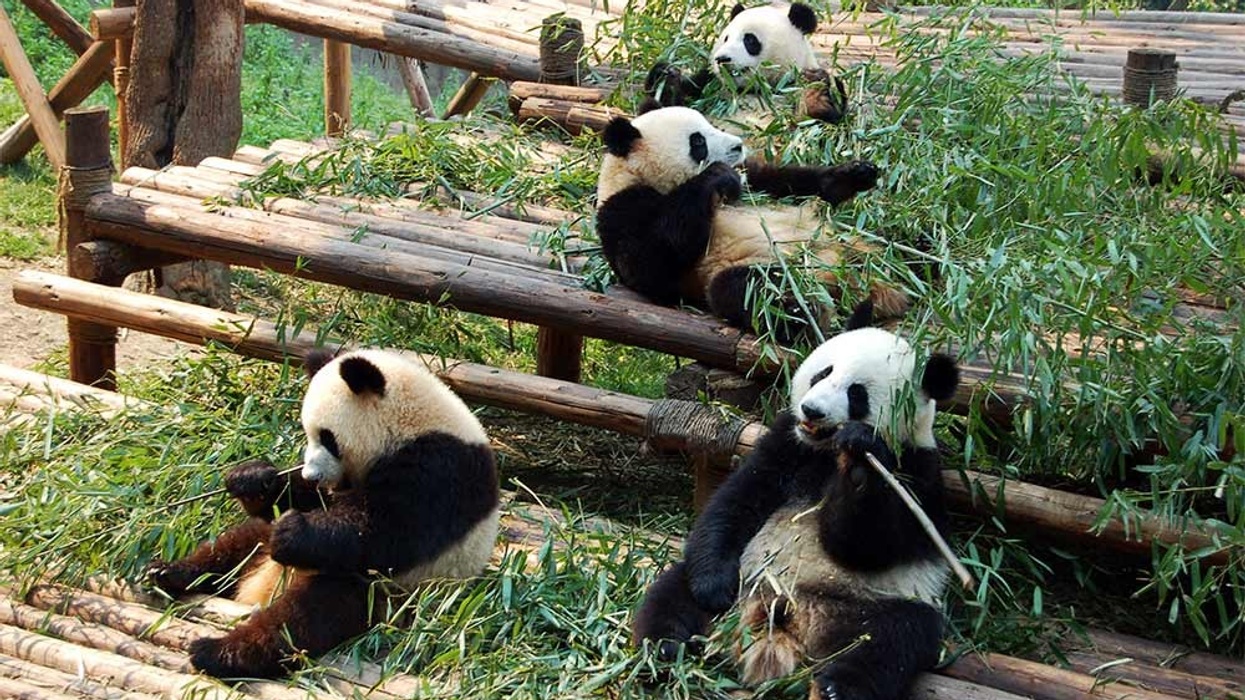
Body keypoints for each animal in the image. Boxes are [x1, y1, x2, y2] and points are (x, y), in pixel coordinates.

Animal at [146, 348, 500, 679]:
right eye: (307, 433)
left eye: (328, 438)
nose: (312, 474)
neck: (411, 423)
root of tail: (256, 590)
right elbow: (311, 501)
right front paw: (252, 478)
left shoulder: (440, 469)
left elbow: (389, 532)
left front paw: (291, 533)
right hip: (260, 551)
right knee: (233, 546)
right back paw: (168, 572)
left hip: (380, 595)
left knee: (304, 618)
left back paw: (219, 652)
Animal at [596, 105, 907, 342]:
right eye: (698, 141)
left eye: (710, 124)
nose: (738, 145)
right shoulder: (622, 210)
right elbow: (649, 264)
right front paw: (717, 175)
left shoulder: (753, 178)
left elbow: (787, 182)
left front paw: (853, 174)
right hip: (766, 269)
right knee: (747, 289)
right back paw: (808, 312)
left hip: (862, 246)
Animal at [632, 300, 960, 700]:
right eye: (823, 372)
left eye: (857, 394)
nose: (812, 410)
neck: (824, 451)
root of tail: (787, 620)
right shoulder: (786, 443)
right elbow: (736, 501)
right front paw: (713, 586)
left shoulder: (915, 473)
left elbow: (868, 547)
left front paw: (858, 461)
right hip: (745, 578)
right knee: (671, 597)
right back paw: (665, 651)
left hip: (873, 605)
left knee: (893, 640)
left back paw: (837, 688)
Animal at [643, 2, 849, 128]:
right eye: (726, 38)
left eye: (749, 40)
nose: (722, 59)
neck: (750, 90)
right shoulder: (707, 84)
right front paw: (665, 75)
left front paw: (815, 91)